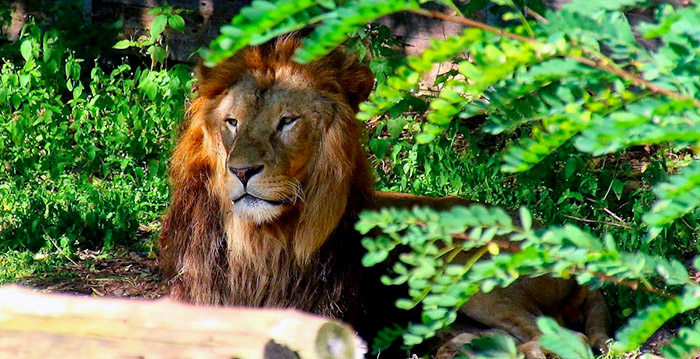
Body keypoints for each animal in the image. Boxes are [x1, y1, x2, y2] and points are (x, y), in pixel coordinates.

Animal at [159, 34, 608, 359]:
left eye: (287, 122)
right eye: (232, 122)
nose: (241, 171)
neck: (258, 244)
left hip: (473, 276)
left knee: (565, 338)